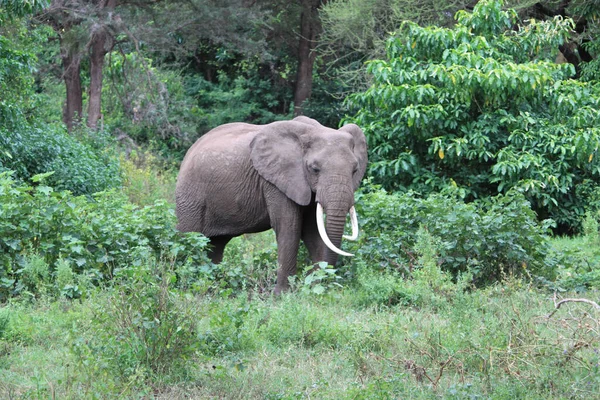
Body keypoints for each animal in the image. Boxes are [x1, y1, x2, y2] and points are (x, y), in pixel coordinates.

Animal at [176, 115, 368, 294]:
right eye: (314, 169)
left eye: (355, 170)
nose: (326, 279)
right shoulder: (275, 181)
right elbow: (289, 227)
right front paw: (283, 295)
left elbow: (312, 231)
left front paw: (317, 288)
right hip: (190, 196)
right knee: (191, 238)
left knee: (215, 244)